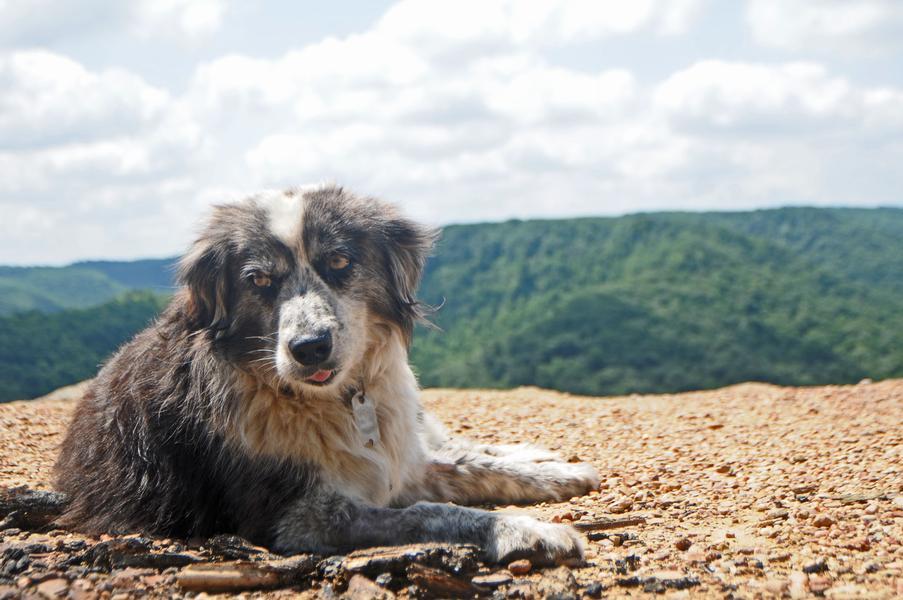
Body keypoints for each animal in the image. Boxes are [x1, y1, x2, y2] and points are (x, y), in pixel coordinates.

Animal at [58, 186, 608, 564]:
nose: (309, 348)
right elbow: (431, 511)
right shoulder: (301, 520)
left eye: (340, 261)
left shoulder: (397, 461)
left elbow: (468, 465)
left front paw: (550, 476)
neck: (340, 400)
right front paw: (529, 530)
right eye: (259, 280)